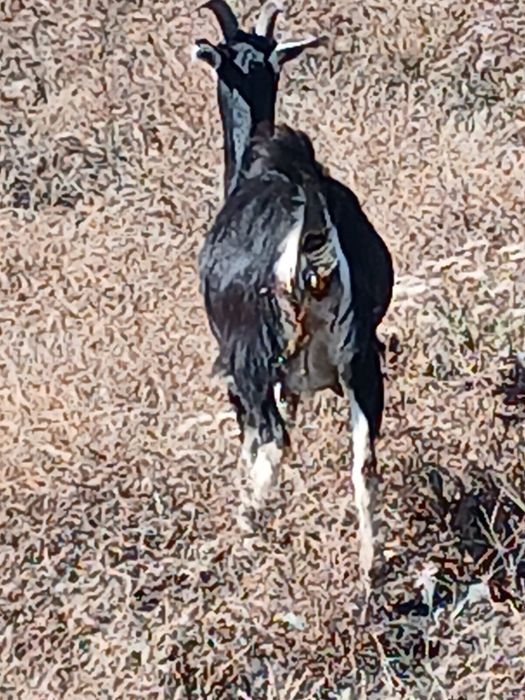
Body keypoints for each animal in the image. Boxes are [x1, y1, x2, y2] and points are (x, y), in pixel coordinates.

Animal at [194, 1, 394, 582]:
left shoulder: (243, 367)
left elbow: (251, 441)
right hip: (360, 358)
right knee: (364, 459)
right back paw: (370, 569)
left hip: (253, 357)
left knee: (273, 439)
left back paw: (247, 529)